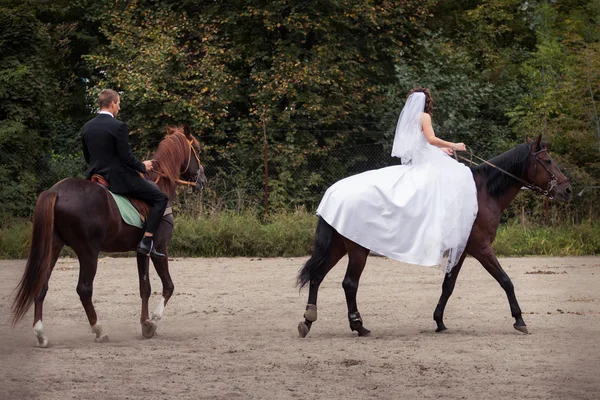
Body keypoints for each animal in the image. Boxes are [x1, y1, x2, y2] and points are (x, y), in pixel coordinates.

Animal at [9, 126, 205, 346]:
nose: (203, 180)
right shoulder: (160, 249)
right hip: (88, 252)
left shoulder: (142, 251)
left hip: (53, 247)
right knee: (84, 289)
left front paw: (145, 324)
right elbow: (168, 286)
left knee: (41, 285)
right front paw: (153, 322)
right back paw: (99, 330)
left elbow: (144, 287)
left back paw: (41, 335)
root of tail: (55, 191)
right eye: (197, 149)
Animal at [296, 136, 572, 336]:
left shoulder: (463, 250)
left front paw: (439, 321)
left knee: (318, 276)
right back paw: (358, 325)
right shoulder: (482, 248)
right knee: (349, 284)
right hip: (357, 250)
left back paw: (308, 321)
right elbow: (506, 281)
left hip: (338, 247)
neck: (483, 193)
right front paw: (519, 319)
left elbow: (448, 286)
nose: (568, 190)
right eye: (547, 161)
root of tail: (334, 191)